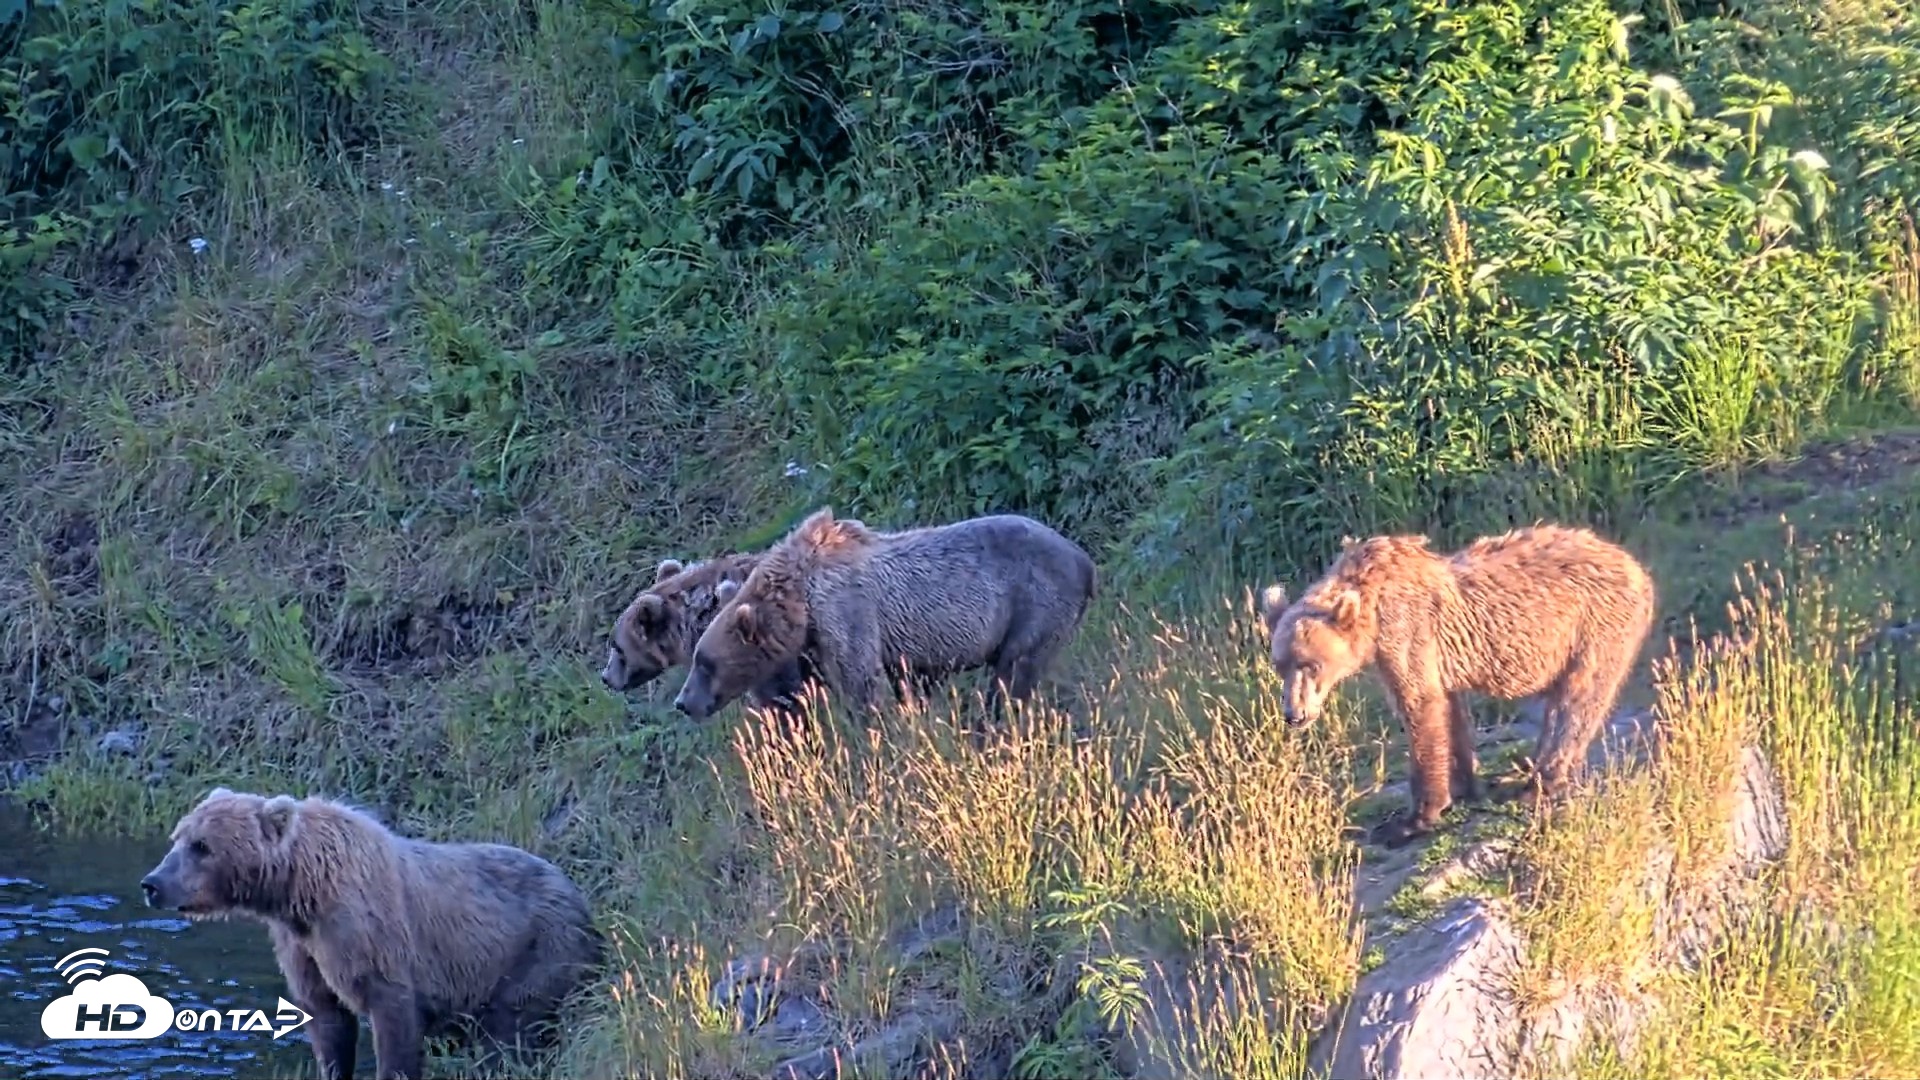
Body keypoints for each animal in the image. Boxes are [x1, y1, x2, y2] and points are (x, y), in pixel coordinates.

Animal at [139, 787, 604, 1080]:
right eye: (178, 837)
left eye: (202, 846)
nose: (152, 884)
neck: (300, 890)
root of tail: (580, 896)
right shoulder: (302, 946)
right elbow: (327, 1020)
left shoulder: (372, 939)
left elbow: (393, 1019)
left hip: (535, 952)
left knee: (511, 1033)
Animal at [673, 507, 1099, 722]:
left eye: (704, 662)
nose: (683, 701)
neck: (798, 600)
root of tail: (1084, 559)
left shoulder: (846, 611)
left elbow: (861, 682)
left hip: (1035, 603)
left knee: (1013, 674)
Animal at [1260, 523, 1655, 849]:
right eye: (1280, 665)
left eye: (1311, 665)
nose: (1295, 714)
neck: (1371, 610)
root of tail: (1637, 568)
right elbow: (1449, 711)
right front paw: (1466, 783)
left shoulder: (1406, 632)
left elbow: (1420, 706)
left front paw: (1413, 820)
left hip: (1594, 626)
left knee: (1578, 698)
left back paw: (1540, 784)